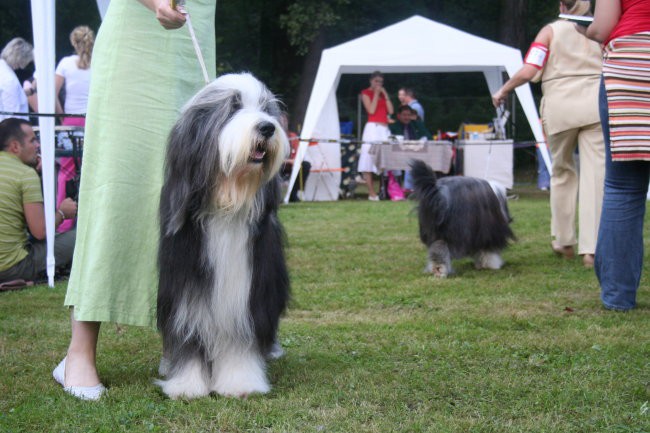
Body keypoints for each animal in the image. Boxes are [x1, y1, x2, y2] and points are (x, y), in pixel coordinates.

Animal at [157, 71, 288, 398]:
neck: (228, 201)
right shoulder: (186, 289)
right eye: (233, 107)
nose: (267, 127)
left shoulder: (246, 292)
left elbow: (241, 340)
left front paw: (241, 383)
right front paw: (186, 385)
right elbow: (188, 336)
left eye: (265, 108)